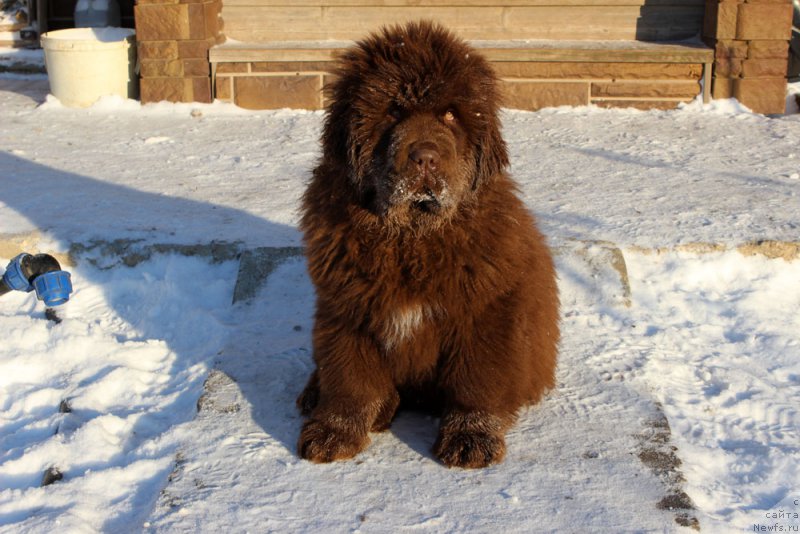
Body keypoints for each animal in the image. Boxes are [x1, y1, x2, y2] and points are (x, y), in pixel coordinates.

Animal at [296, 21, 564, 468]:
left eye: (451, 115)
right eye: (393, 111)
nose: (424, 157)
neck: (412, 238)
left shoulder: (484, 314)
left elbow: (476, 382)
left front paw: (471, 437)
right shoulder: (347, 310)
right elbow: (349, 379)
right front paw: (335, 432)